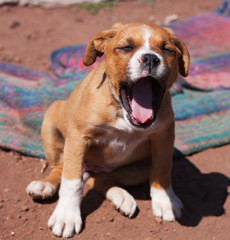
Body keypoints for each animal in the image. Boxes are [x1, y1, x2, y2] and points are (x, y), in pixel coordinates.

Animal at [26, 23, 190, 238]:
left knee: (102, 179)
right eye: (126, 47)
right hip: (52, 120)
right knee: (62, 169)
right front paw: (66, 215)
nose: (150, 58)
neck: (121, 111)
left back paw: (122, 197)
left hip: (138, 168)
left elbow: (162, 170)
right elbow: (72, 180)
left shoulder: (164, 136)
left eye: (167, 50)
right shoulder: (78, 136)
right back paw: (45, 185)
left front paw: (164, 200)